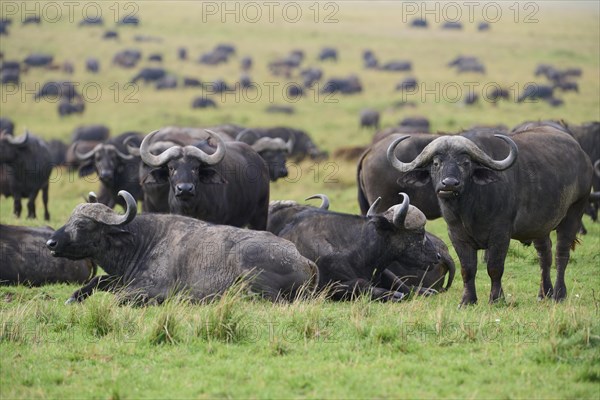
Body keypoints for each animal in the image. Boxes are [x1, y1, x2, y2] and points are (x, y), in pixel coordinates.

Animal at [47, 191, 318, 304]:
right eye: (70, 219)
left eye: (82, 224)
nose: (51, 243)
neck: (143, 242)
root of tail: (304, 260)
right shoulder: (121, 279)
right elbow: (98, 281)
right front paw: (74, 298)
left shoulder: (151, 289)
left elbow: (118, 298)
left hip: (251, 267)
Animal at [386, 126, 592, 304]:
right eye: (436, 163)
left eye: (465, 163)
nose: (449, 184)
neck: (469, 209)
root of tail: (583, 157)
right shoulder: (457, 236)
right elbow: (468, 269)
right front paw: (467, 300)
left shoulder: (500, 234)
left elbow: (494, 267)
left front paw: (496, 299)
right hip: (540, 226)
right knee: (545, 255)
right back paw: (544, 294)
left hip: (574, 213)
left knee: (561, 254)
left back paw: (559, 294)